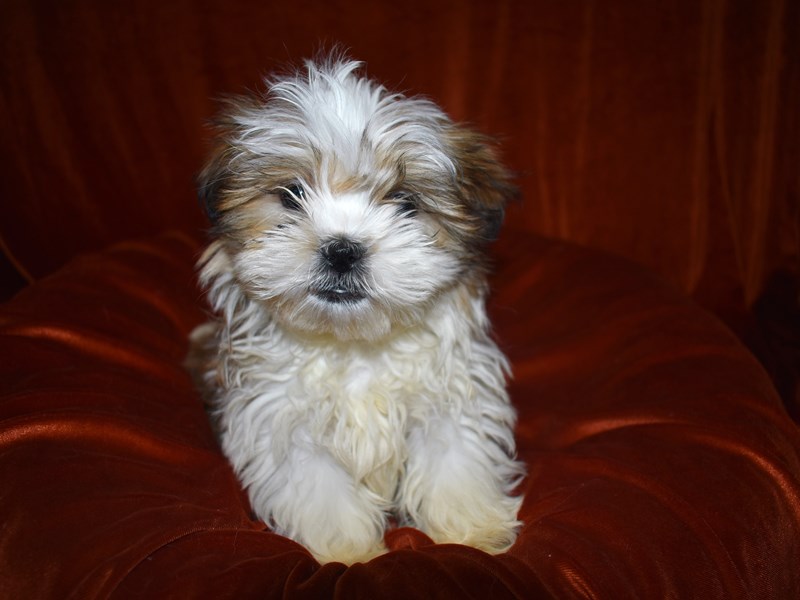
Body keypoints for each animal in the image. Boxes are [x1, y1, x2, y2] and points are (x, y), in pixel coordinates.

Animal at [188, 54, 524, 564]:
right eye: (292, 194)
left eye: (405, 203)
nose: (342, 250)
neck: (354, 346)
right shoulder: (283, 423)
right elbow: (322, 494)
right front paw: (349, 555)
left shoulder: (449, 400)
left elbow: (454, 464)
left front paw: (472, 532)